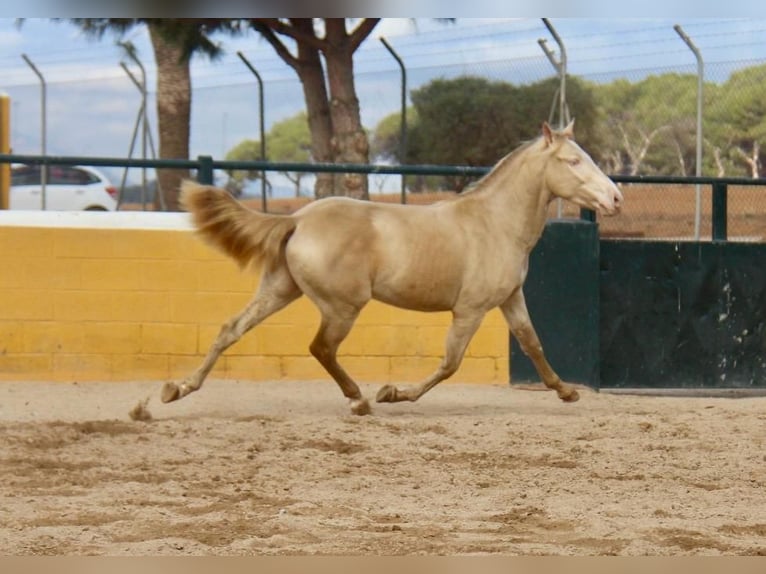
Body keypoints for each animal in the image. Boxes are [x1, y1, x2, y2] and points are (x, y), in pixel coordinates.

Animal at [161, 121, 622, 415]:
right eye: (573, 161)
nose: (615, 198)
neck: (494, 222)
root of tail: (299, 219)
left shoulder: (510, 298)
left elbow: (533, 343)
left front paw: (566, 392)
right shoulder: (470, 309)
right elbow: (450, 363)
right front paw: (393, 393)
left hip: (280, 289)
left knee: (231, 329)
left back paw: (175, 389)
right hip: (343, 306)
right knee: (321, 348)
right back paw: (360, 400)